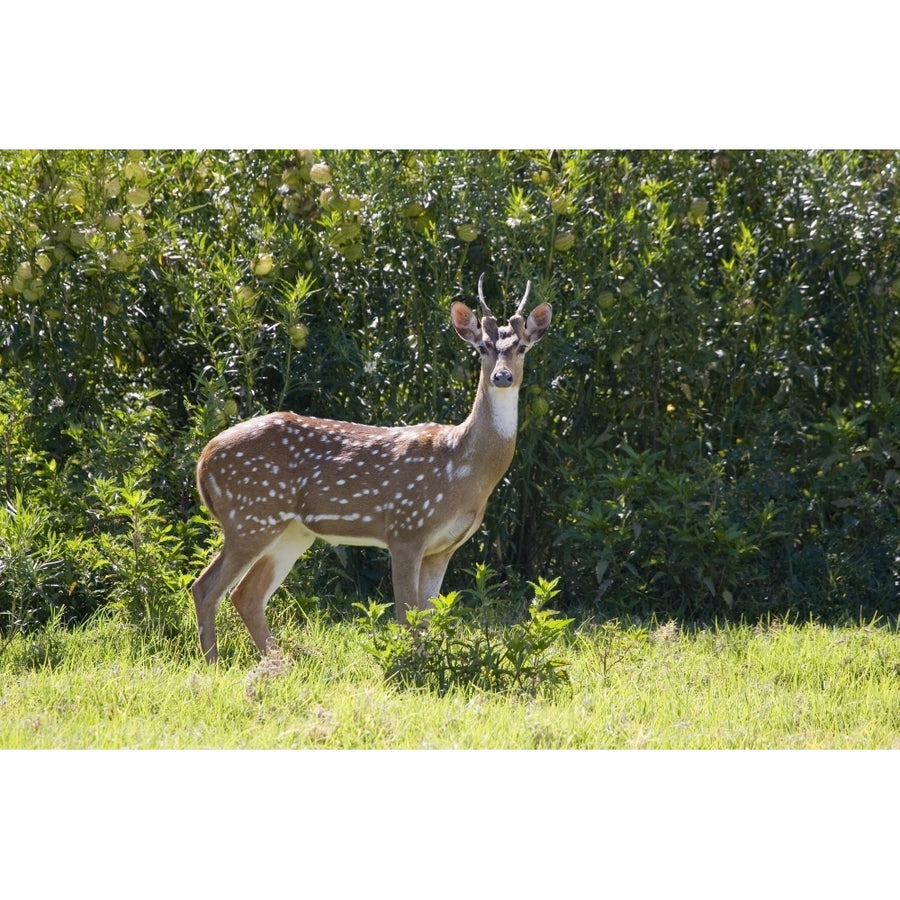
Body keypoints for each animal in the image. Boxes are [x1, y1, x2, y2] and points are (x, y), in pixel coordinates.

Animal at [193, 274, 552, 660]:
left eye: (522, 347)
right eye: (483, 347)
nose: (502, 377)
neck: (463, 469)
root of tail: (203, 458)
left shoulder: (444, 547)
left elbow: (426, 617)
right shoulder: (406, 528)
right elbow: (407, 615)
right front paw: (410, 667)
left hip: (291, 530)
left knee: (246, 593)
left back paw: (276, 664)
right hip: (249, 516)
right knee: (207, 588)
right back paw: (215, 664)